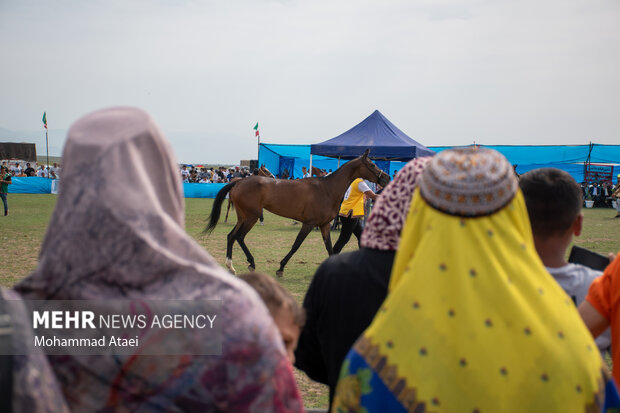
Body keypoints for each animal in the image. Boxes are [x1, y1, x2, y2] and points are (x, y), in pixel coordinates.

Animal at [205, 149, 388, 276]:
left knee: (231, 236)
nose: (386, 178)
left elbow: (329, 247)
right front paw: (280, 268)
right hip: (251, 217)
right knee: (239, 236)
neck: (327, 189)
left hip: (243, 217)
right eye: (372, 165)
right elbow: (296, 244)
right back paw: (250, 263)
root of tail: (239, 182)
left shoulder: (324, 225)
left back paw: (231, 266)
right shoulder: (309, 224)